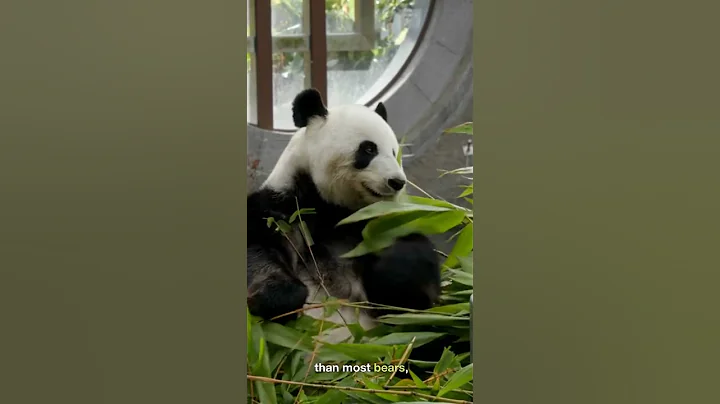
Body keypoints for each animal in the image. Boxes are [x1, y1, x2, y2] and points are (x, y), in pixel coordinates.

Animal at [246, 88, 442, 334]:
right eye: (369, 148)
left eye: (394, 152)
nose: (397, 182)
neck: (332, 209)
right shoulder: (281, 208)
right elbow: (256, 250)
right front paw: (282, 297)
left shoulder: (378, 222)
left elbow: (415, 275)